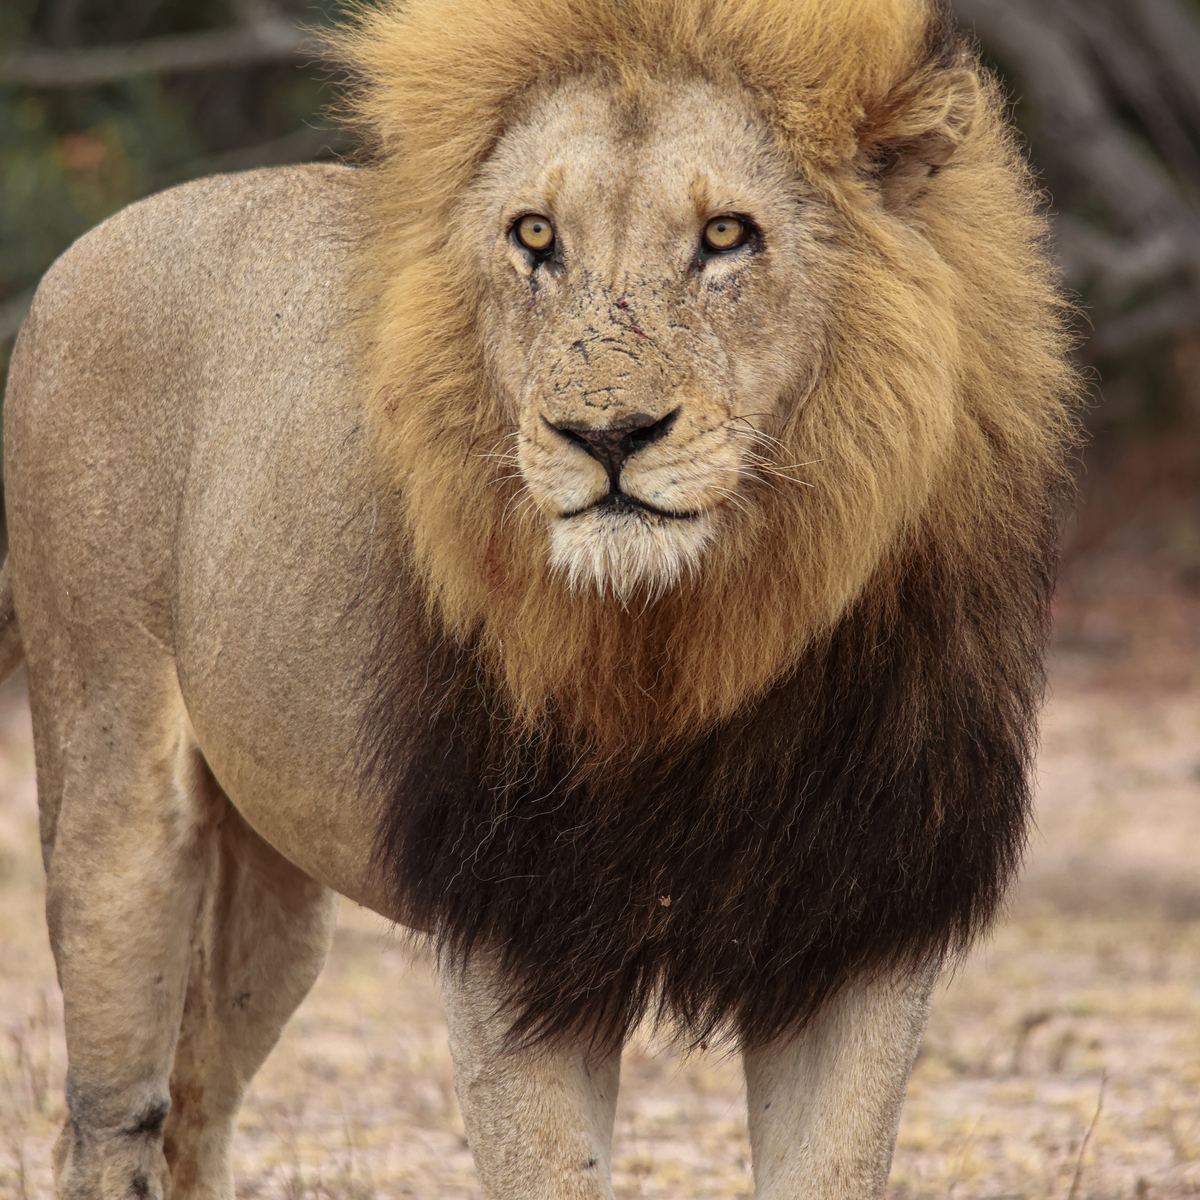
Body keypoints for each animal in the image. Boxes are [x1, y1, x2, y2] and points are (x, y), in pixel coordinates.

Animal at [0, 0, 1078, 1194]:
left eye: (726, 235)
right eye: (533, 236)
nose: (604, 435)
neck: (693, 642)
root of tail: (91, 245)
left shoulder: (862, 936)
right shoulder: (515, 939)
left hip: (273, 893)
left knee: (198, 1108)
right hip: (111, 788)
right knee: (110, 1121)